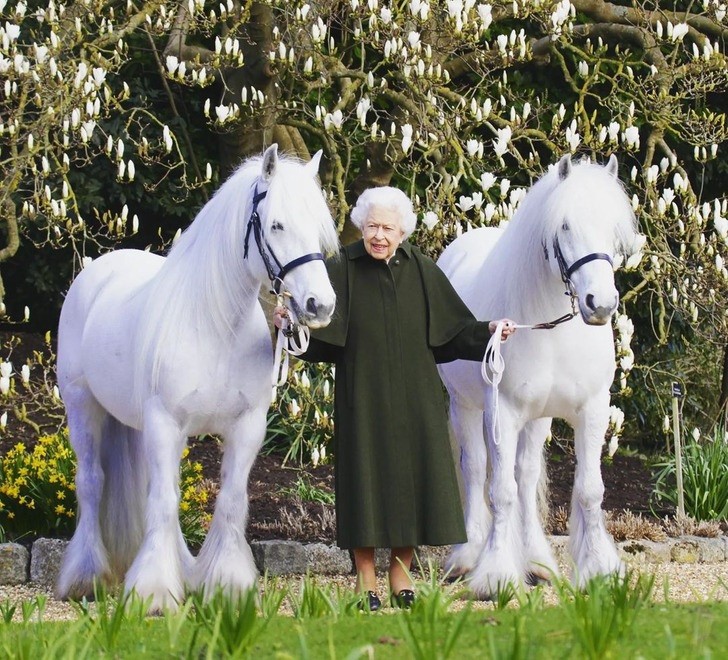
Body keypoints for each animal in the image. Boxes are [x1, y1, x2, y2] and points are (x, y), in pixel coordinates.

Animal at [57, 146, 338, 612]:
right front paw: (153, 592)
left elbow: (229, 501)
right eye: (277, 224)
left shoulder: (246, 427)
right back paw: (85, 577)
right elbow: (163, 502)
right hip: (83, 407)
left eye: (318, 229)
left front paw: (227, 585)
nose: (320, 305)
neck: (215, 326)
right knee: (92, 483)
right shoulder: (165, 423)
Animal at [438, 156, 636, 600]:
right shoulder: (504, 412)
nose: (601, 304)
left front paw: (599, 570)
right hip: (465, 406)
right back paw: (467, 557)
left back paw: (537, 562)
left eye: (613, 227)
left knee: (526, 476)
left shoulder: (592, 410)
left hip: (538, 418)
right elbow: (500, 491)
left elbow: (588, 490)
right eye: (564, 226)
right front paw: (495, 575)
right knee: (476, 469)